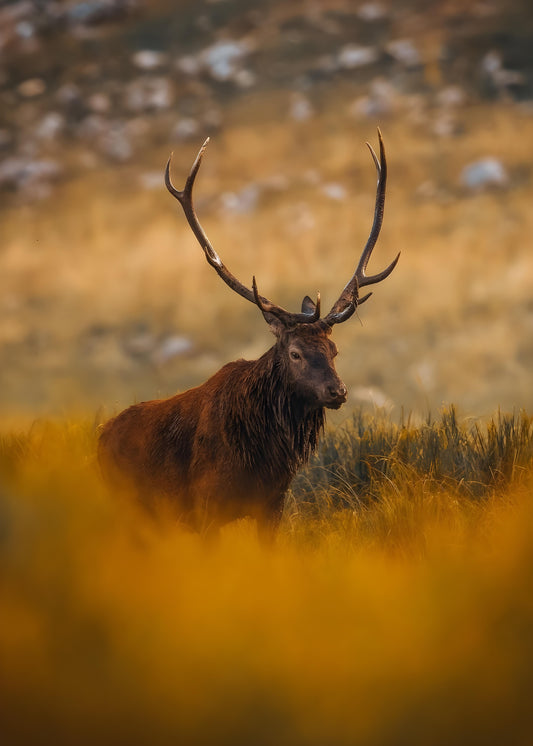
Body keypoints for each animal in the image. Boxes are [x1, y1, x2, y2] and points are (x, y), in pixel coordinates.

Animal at [98, 130, 399, 539]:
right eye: (295, 353)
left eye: (334, 349)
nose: (337, 391)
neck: (263, 457)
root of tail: (99, 438)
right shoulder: (205, 504)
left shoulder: (273, 503)